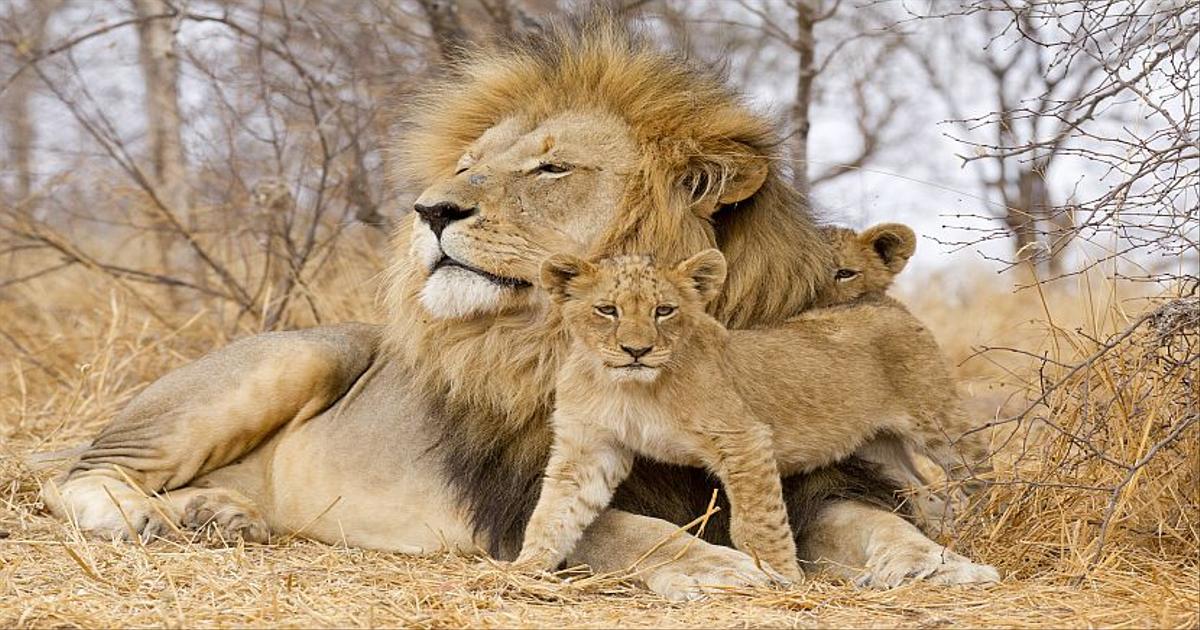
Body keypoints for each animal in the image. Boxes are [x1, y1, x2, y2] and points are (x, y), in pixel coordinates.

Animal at [516, 248, 992, 581]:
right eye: (607, 310)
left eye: (664, 310)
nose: (638, 350)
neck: (629, 388)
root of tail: (882, 301)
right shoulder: (589, 447)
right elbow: (554, 511)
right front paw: (524, 570)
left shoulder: (743, 437)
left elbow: (757, 522)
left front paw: (783, 579)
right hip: (877, 446)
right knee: (923, 488)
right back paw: (945, 533)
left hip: (938, 422)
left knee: (975, 471)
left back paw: (990, 519)